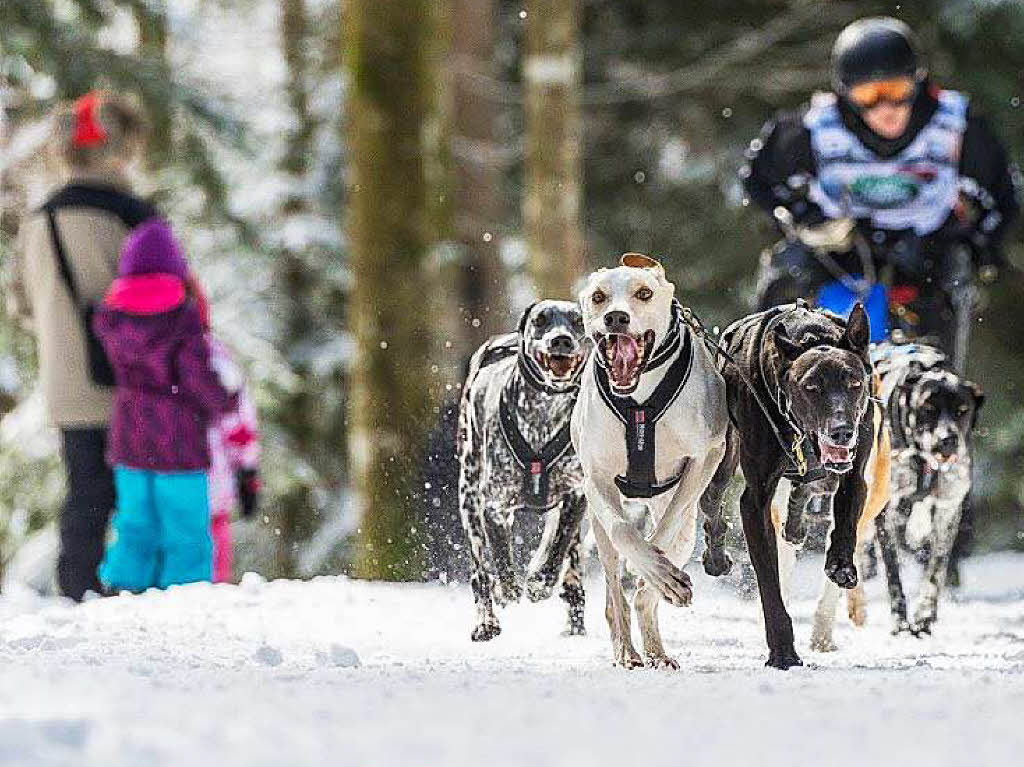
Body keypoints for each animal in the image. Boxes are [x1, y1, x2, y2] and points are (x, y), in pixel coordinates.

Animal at [458, 299, 593, 638]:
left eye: (578, 321)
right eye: (541, 320)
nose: (561, 340)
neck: (542, 413)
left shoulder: (576, 495)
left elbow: (557, 545)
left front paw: (540, 581)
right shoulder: (494, 506)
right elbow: (501, 556)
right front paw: (509, 589)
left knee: (570, 566)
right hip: (468, 499)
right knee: (481, 573)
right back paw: (486, 621)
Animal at [569, 253, 729, 667]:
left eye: (644, 293)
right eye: (598, 296)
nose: (616, 318)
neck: (639, 401)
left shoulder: (704, 458)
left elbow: (666, 529)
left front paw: (658, 569)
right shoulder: (597, 477)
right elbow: (625, 532)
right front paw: (647, 563)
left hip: (687, 531)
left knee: (649, 590)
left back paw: (656, 644)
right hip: (599, 528)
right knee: (615, 593)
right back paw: (627, 650)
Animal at [704, 303, 872, 667]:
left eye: (854, 382)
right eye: (811, 387)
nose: (841, 431)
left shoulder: (855, 471)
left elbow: (847, 521)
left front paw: (840, 563)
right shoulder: (754, 502)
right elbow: (769, 582)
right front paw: (783, 652)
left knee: (809, 485)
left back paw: (797, 524)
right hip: (724, 456)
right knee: (711, 498)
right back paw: (715, 554)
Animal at [872, 342, 983, 634]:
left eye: (962, 410)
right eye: (928, 409)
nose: (948, 440)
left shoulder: (948, 509)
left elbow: (936, 568)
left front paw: (924, 614)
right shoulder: (886, 513)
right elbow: (893, 572)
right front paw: (900, 620)